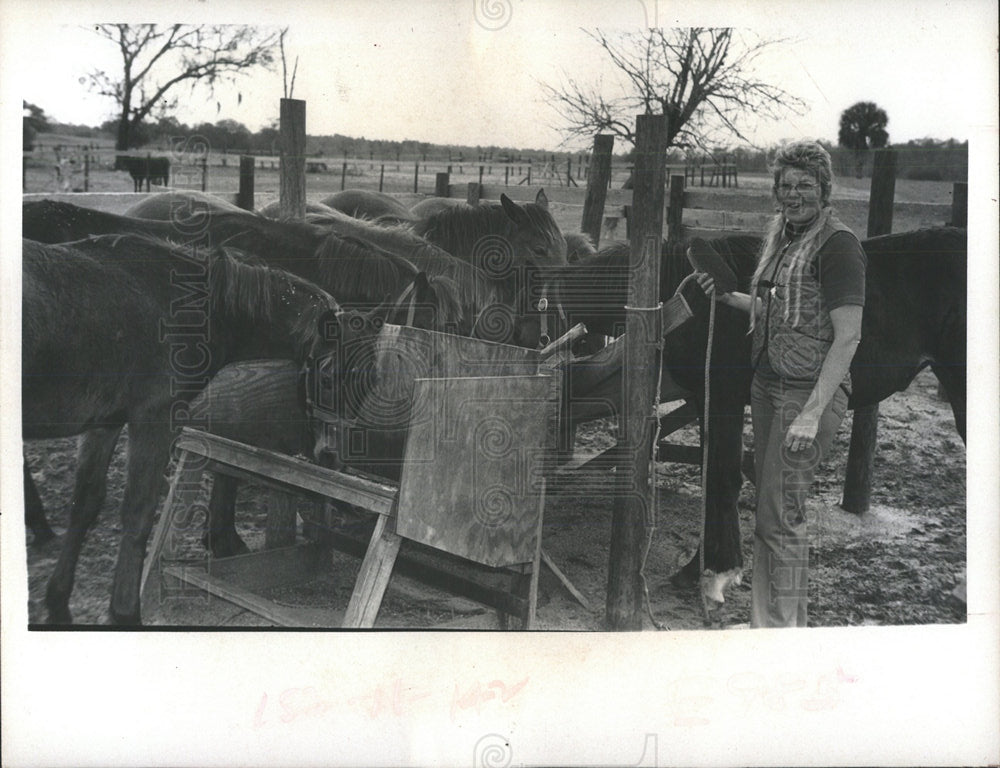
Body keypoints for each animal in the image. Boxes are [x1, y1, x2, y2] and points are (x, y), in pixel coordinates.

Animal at [25, 234, 386, 624]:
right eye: (328, 376)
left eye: (370, 383)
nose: (332, 455)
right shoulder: (153, 421)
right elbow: (137, 514)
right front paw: (125, 613)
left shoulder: (105, 423)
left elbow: (85, 505)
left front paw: (58, 605)